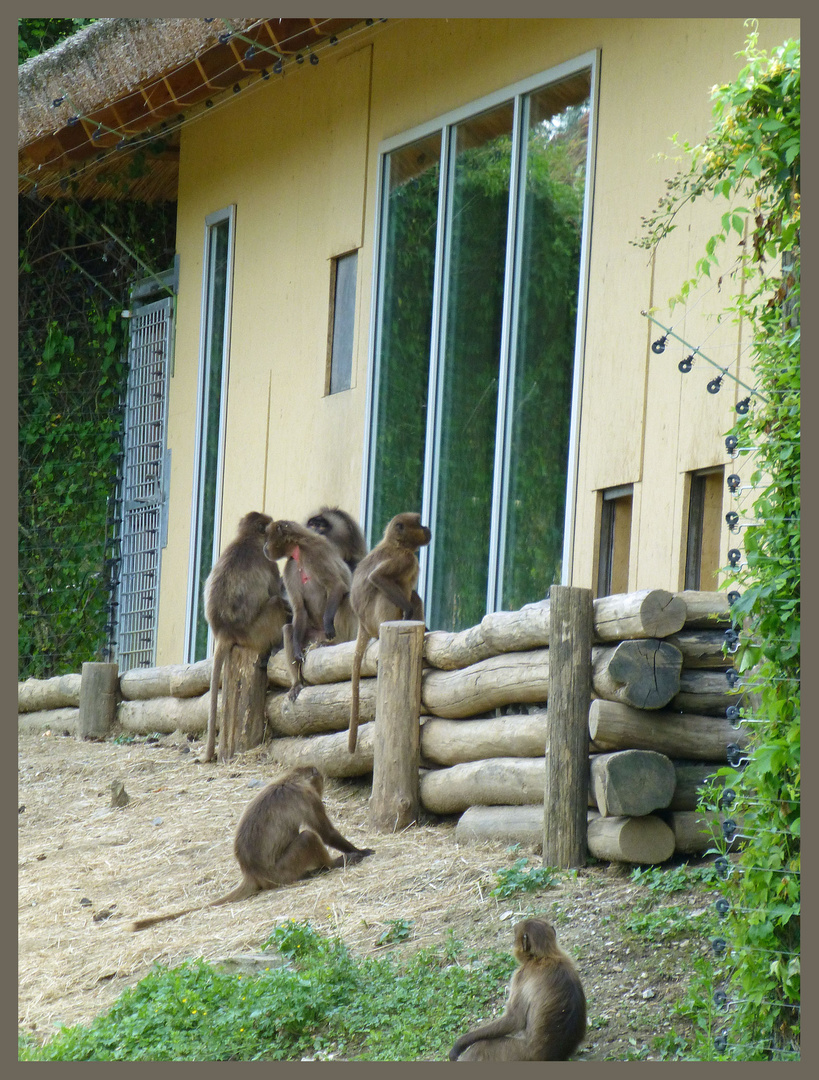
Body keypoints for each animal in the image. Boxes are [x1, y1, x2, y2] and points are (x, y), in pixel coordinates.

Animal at [131, 764, 376, 933]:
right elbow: (326, 834)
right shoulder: (308, 796)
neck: (288, 779)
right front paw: (359, 852)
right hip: (282, 871)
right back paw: (331, 865)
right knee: (308, 837)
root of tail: (250, 872)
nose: (323, 787)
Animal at [202, 509, 291, 764]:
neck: (247, 538)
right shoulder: (267, 560)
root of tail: (223, 630)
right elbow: (276, 592)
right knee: (275, 603)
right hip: (255, 631)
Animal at [264, 520, 358, 699]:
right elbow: (300, 609)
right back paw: (296, 684)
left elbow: (336, 586)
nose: (264, 546)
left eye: (267, 537)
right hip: (311, 638)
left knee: (346, 599)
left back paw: (334, 641)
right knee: (288, 629)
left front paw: (328, 624)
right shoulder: (290, 567)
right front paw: (296, 653)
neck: (298, 549)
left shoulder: (315, 553)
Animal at [347, 511, 432, 751]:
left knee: (414, 596)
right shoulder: (404, 559)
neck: (396, 544)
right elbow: (377, 578)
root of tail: (363, 624)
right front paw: (409, 611)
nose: (427, 527)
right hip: (375, 620)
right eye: (419, 523)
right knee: (388, 593)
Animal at [449, 915, 592, 1058]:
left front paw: (459, 1044)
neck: (544, 957)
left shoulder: (520, 975)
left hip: (517, 1052)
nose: (513, 944)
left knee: (481, 1046)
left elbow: (515, 1019)